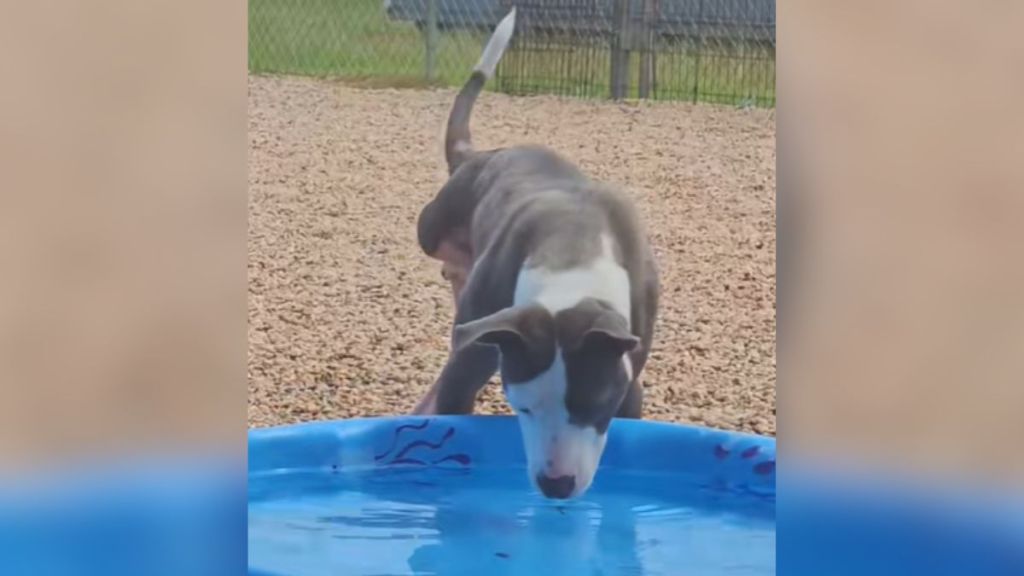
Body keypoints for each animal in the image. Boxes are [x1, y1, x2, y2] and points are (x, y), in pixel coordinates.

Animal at [407, 6, 655, 498]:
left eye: (595, 407)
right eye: (522, 407)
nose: (555, 485)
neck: (573, 255)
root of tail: (480, 155)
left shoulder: (628, 377)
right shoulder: (470, 363)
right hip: (432, 226)